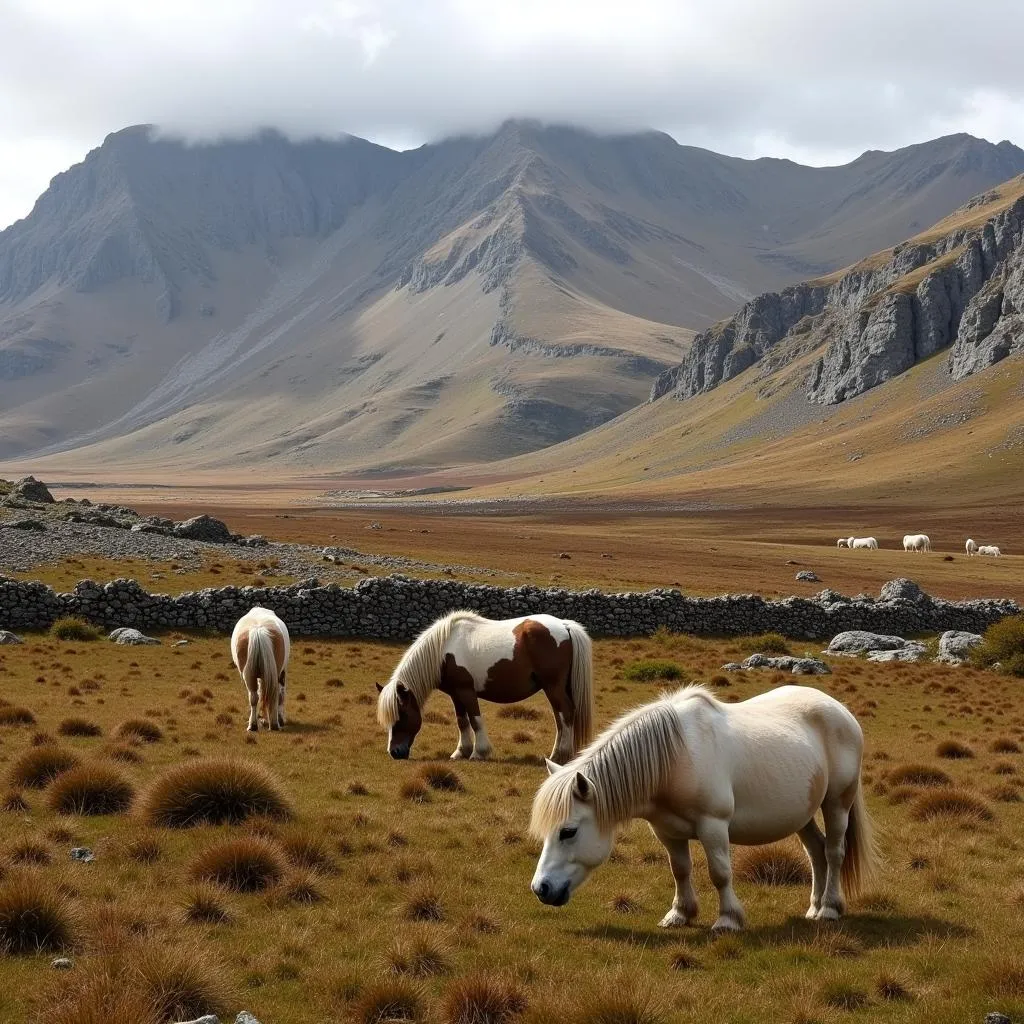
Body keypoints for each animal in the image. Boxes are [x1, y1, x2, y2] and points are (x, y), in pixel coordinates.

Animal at [233, 602, 292, 733]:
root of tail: (258, 630)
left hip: (249, 675)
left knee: (254, 696)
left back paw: (253, 725)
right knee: (274, 695)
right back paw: (274, 723)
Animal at [532, 684, 876, 933]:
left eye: (568, 831)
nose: (541, 889)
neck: (675, 758)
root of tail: (841, 710)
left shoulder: (713, 825)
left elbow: (720, 873)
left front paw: (728, 919)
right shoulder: (667, 831)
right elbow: (680, 870)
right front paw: (680, 914)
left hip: (837, 803)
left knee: (834, 852)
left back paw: (830, 908)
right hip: (802, 812)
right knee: (816, 852)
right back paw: (814, 907)